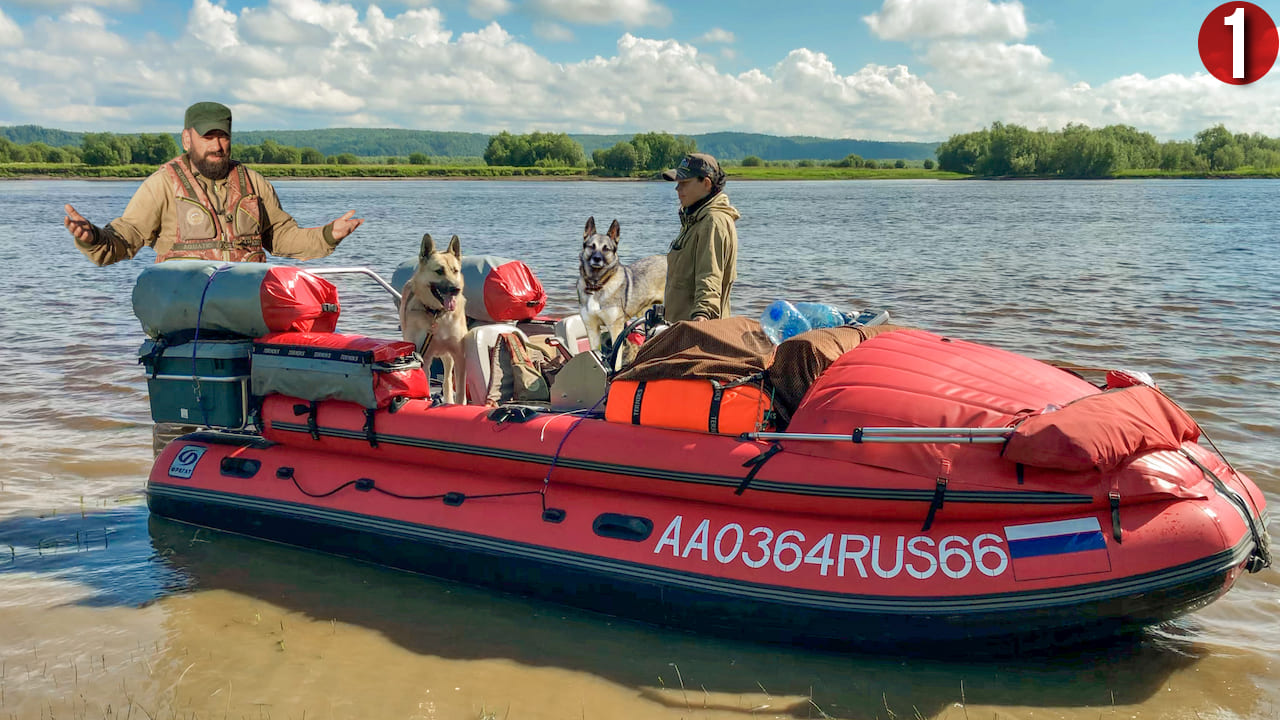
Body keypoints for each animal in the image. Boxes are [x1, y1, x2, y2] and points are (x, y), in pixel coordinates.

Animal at [399, 230, 471, 404]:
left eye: (455, 270)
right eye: (439, 271)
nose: (456, 289)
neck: (437, 314)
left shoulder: (459, 356)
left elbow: (460, 392)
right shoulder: (424, 357)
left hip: (448, 358)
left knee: (447, 382)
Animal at [576, 215, 665, 353]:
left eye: (606, 249)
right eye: (592, 246)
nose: (597, 259)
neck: (597, 285)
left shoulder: (615, 329)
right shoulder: (592, 329)